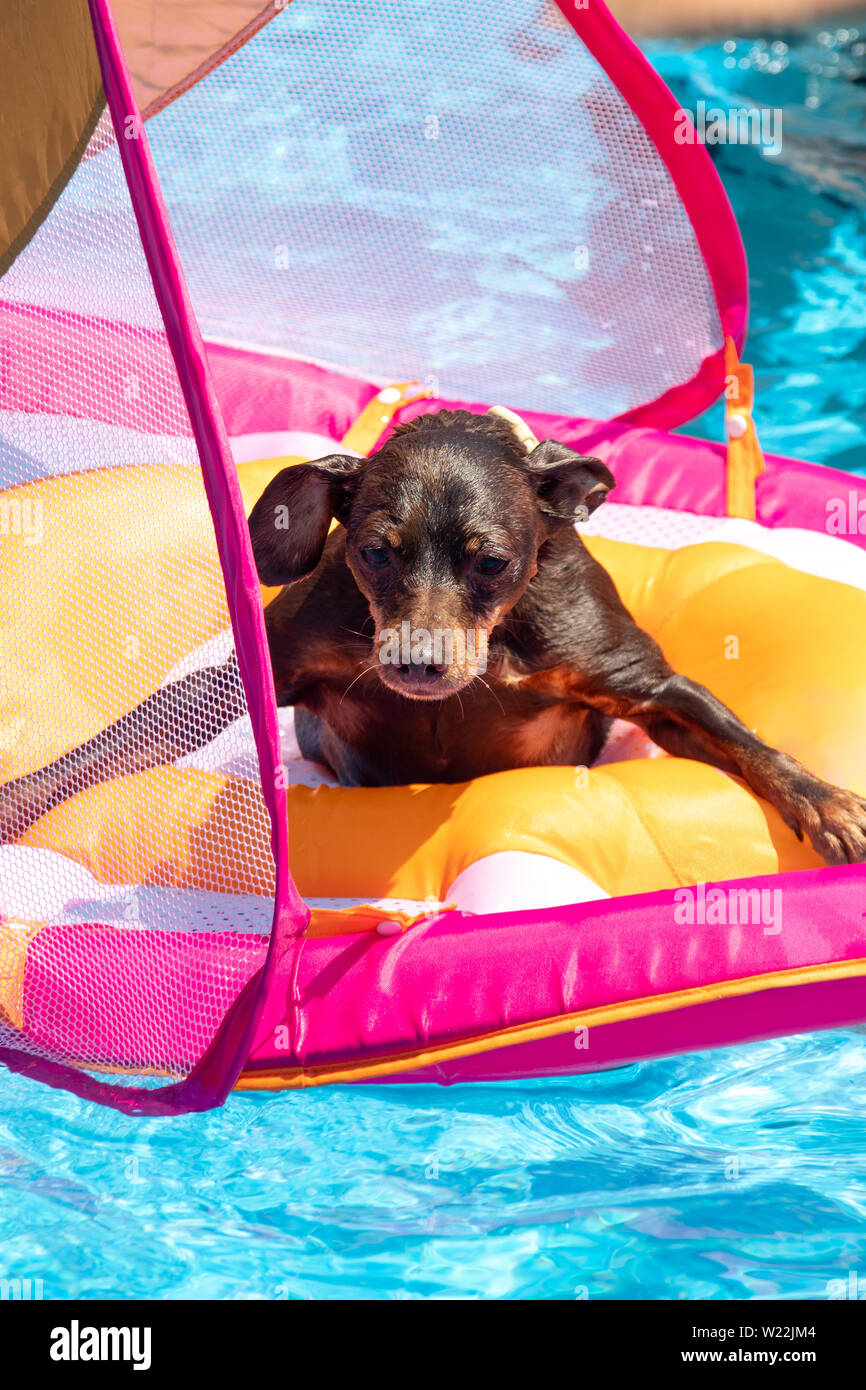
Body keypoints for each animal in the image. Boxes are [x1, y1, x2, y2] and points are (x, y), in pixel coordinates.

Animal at [5, 405, 866, 861]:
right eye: (374, 552)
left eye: (492, 562)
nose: (418, 666)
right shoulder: (258, 670)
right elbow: (109, 747)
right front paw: (23, 800)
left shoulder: (638, 683)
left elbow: (742, 741)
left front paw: (825, 802)